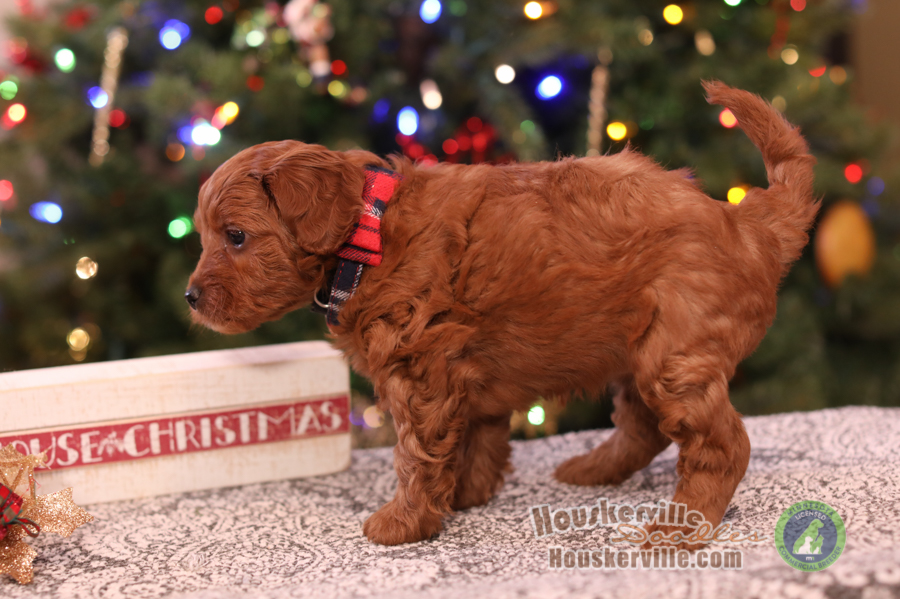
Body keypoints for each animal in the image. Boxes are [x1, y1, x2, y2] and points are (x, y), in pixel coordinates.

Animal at [186, 81, 818, 547]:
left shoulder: (420, 372)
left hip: (676, 353)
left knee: (721, 446)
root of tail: (750, 223)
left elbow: (415, 453)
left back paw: (681, 527)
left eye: (235, 236)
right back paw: (591, 470)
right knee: (642, 427)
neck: (366, 236)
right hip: (637, 349)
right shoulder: (464, 371)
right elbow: (476, 438)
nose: (190, 297)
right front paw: (465, 494)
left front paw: (403, 521)